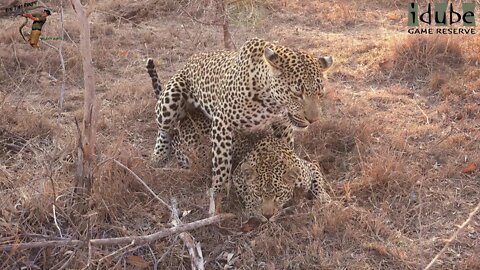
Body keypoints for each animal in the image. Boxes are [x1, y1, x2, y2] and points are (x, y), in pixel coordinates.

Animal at [152, 37, 332, 213]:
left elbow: (284, 149)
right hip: (170, 99)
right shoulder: (223, 122)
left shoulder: (282, 123)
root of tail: (193, 58)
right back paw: (158, 155)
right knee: (165, 130)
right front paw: (219, 196)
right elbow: (222, 165)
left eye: (320, 94)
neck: (271, 102)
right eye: (296, 93)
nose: (313, 120)